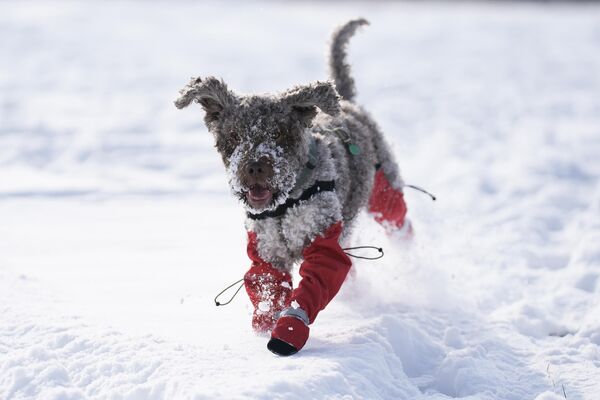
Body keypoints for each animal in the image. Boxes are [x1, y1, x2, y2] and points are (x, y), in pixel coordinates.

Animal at [173, 18, 408, 356]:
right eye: (233, 136)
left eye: (280, 134)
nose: (256, 166)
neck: (284, 205)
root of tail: (348, 101)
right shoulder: (266, 250)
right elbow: (268, 286)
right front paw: (265, 324)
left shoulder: (322, 239)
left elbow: (312, 286)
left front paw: (287, 333)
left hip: (383, 185)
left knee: (397, 214)